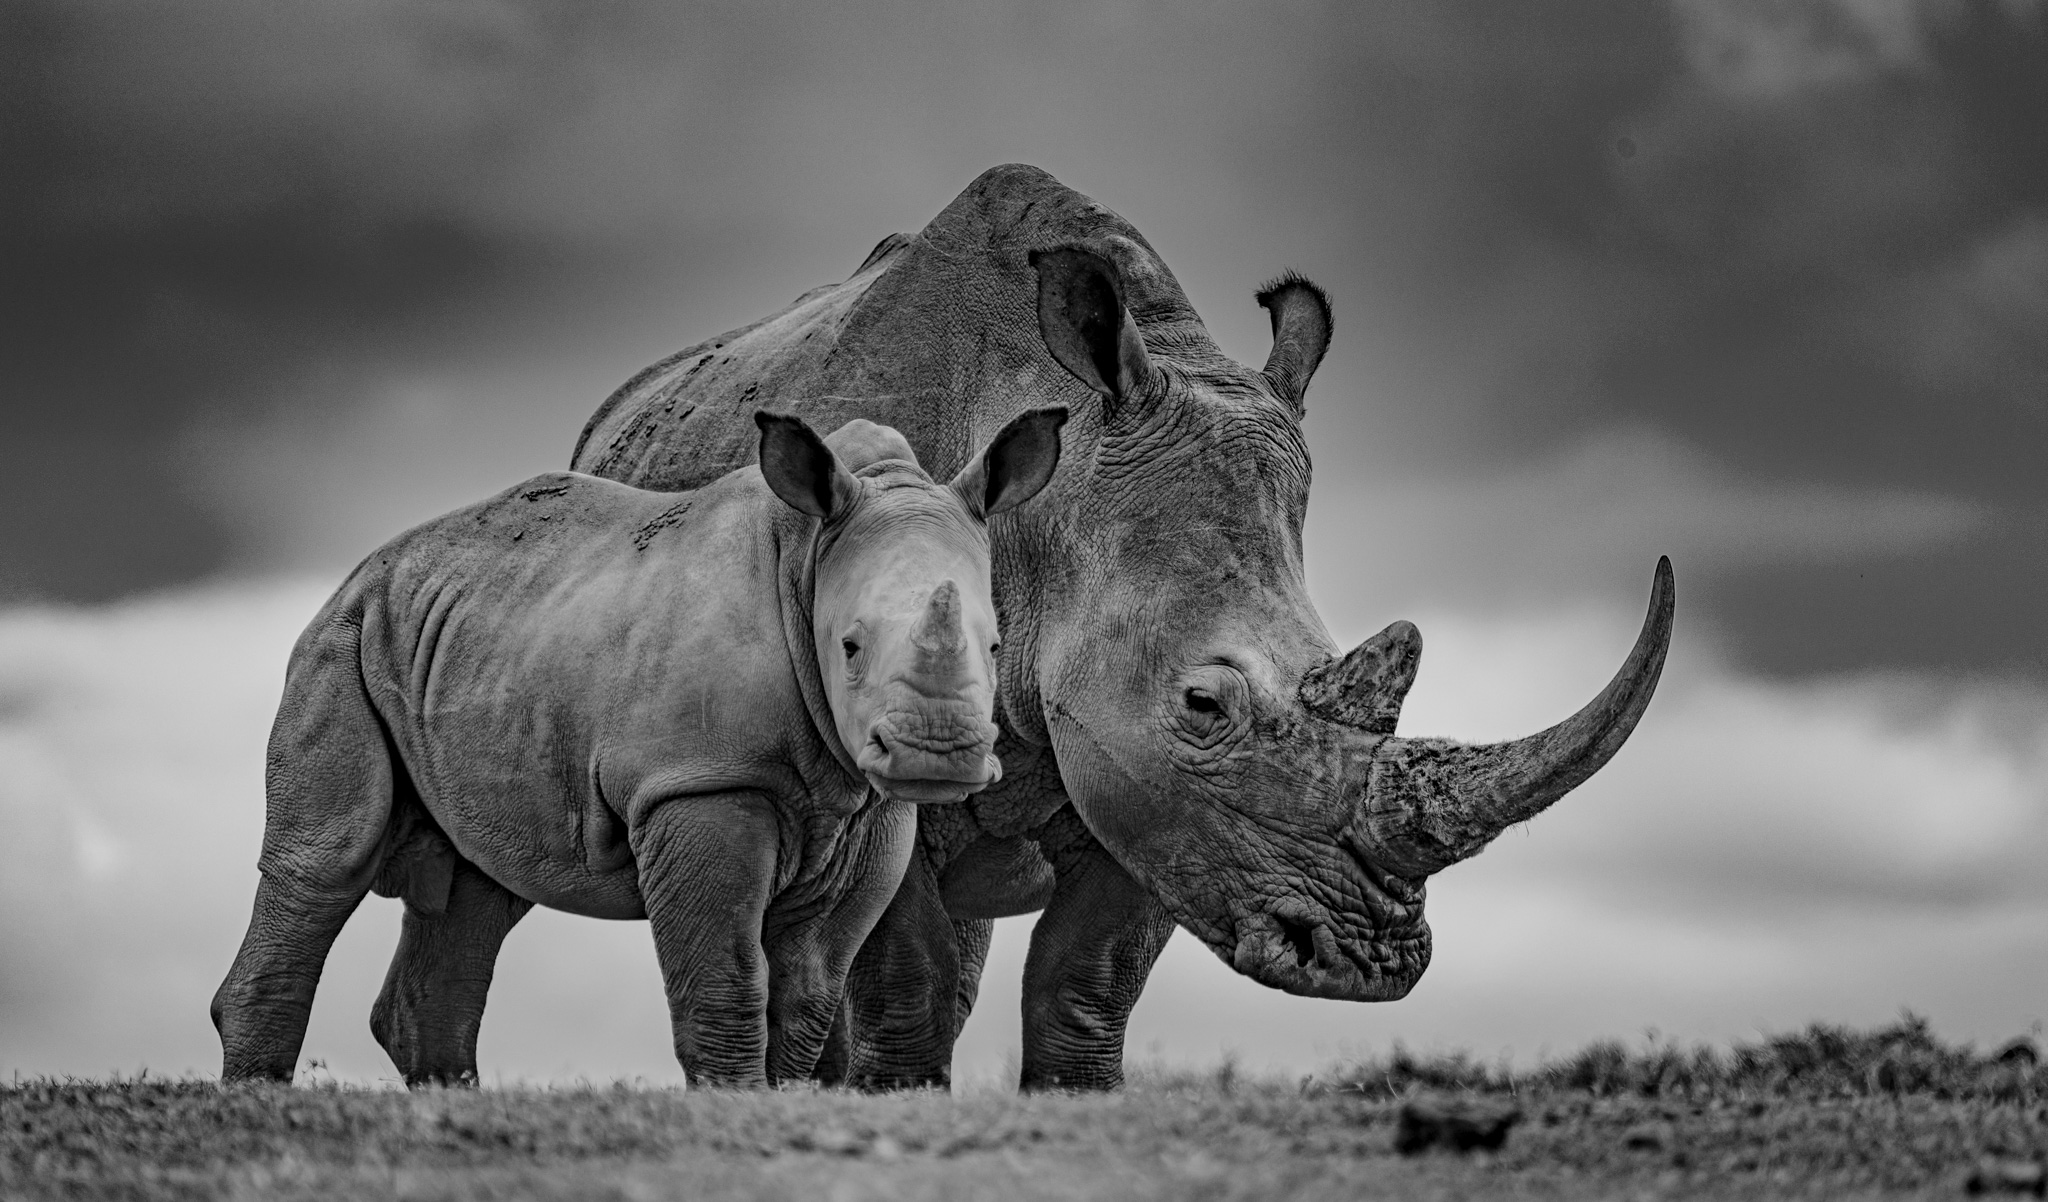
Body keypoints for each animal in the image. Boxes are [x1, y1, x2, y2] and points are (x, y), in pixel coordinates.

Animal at [212, 408, 1067, 1087]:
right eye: (850, 646)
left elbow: (808, 995)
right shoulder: (698, 781)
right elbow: (725, 979)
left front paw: (775, 1101)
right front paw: (733, 1105)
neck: (807, 561)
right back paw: (257, 1098)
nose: (938, 753)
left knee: (480, 884)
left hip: (468, 639)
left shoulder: (869, 806)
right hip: (341, 642)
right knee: (329, 859)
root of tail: (360, 571)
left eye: (998, 645)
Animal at [391, 164, 1672, 1091]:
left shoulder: (1156, 796)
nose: (1364, 962)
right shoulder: (1084, 747)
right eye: (1204, 702)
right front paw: (900, 1101)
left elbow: (1084, 979)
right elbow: (904, 972)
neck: (1050, 505)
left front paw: (1072, 1098)